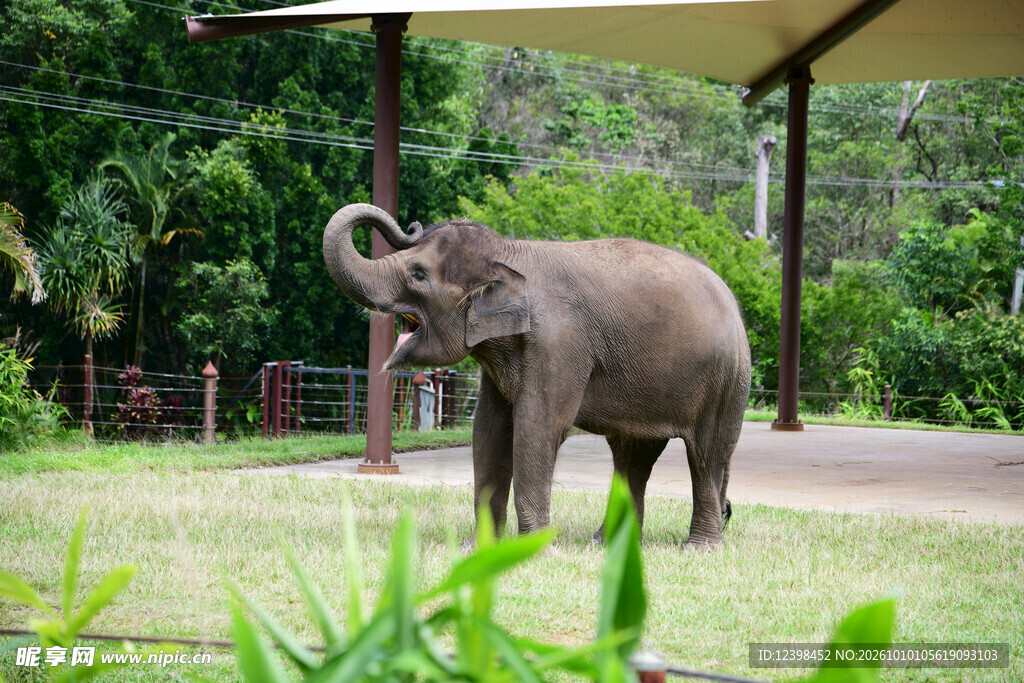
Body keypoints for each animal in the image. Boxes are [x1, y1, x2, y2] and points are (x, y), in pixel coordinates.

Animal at [323, 203, 751, 546]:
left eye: (417, 274)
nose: (411, 225)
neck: (508, 253)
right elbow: (489, 432)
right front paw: (479, 549)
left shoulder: (560, 344)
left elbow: (538, 427)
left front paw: (532, 549)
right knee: (632, 456)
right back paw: (606, 544)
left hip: (726, 380)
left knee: (706, 454)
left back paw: (699, 547)